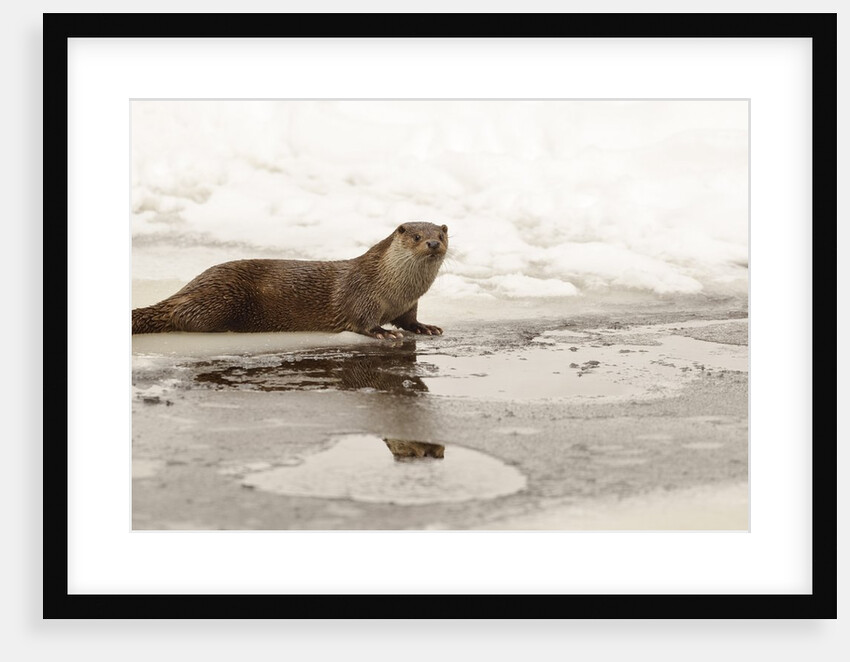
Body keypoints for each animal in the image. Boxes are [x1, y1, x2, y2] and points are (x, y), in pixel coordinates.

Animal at [132, 221, 448, 340]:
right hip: (222, 297)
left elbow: (409, 320)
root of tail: (187, 287)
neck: (395, 290)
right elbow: (362, 322)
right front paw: (382, 332)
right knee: (182, 315)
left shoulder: (409, 304)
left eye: (442, 235)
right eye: (416, 236)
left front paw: (425, 327)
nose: (433, 243)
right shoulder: (361, 294)